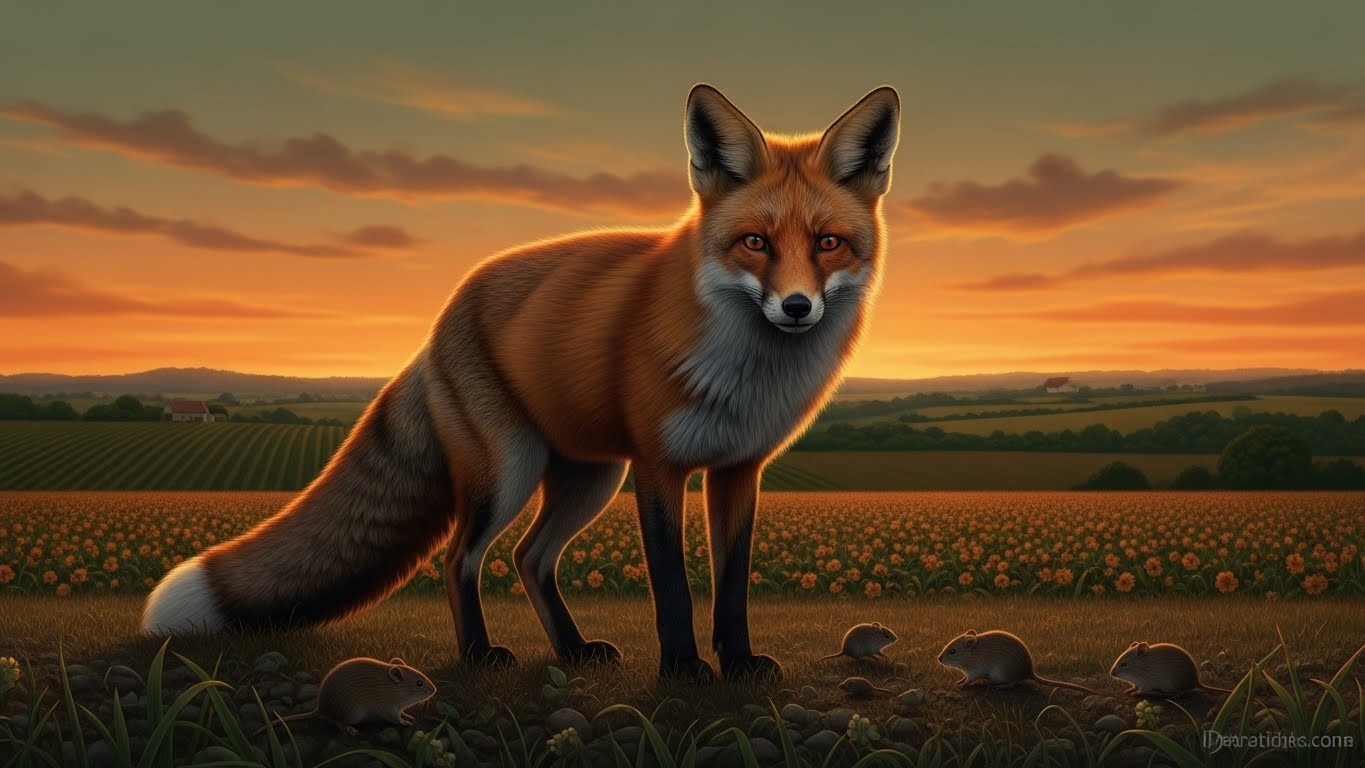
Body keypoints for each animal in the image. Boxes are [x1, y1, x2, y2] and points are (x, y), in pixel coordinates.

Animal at [141, 83, 901, 682]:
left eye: (828, 243)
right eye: (755, 243)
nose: (796, 307)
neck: (745, 372)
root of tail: (442, 318)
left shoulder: (740, 468)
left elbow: (733, 584)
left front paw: (738, 663)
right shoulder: (659, 468)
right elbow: (673, 586)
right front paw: (684, 668)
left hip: (588, 477)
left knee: (529, 558)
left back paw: (571, 649)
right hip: (508, 471)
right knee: (461, 559)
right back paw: (479, 654)